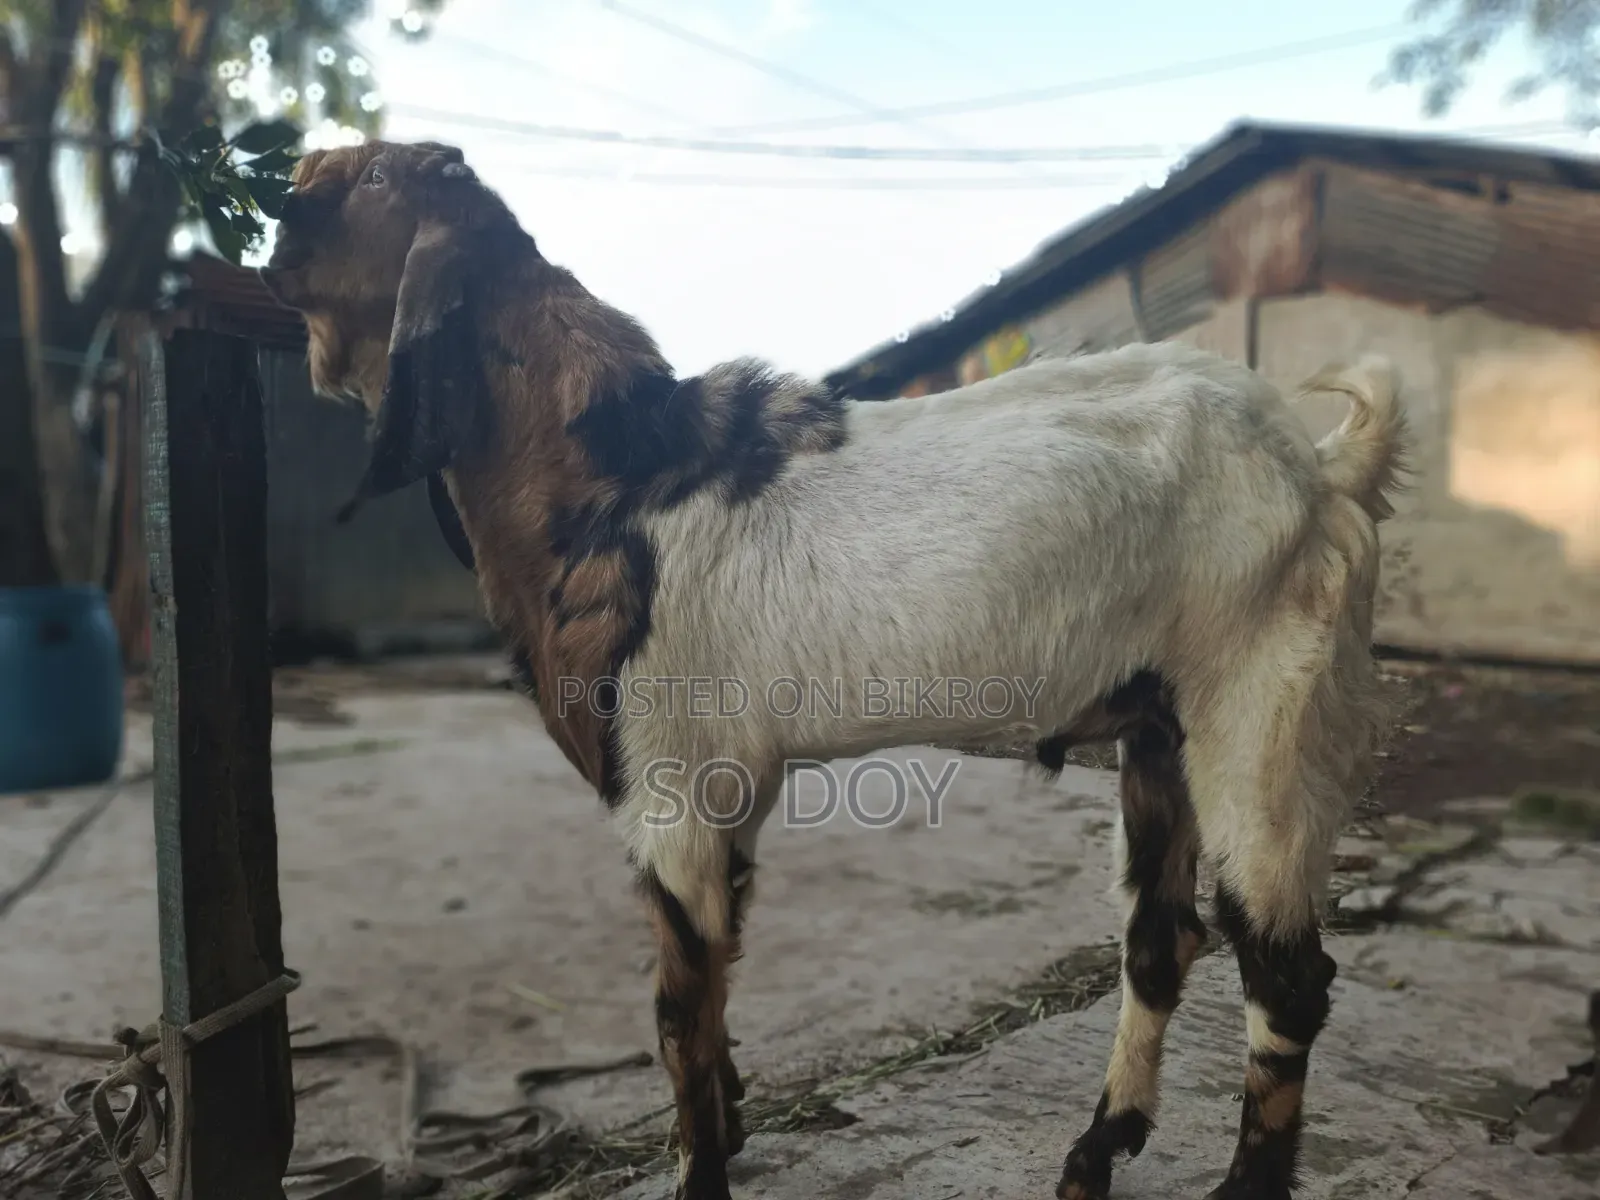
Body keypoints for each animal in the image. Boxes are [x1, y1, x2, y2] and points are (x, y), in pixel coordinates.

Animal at [260, 139, 1408, 1200]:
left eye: (371, 181)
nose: (274, 220)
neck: (613, 472)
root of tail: (1323, 471)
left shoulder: (668, 785)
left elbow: (676, 1011)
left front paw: (700, 1173)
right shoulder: (730, 788)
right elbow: (719, 973)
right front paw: (727, 1132)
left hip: (1260, 713)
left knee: (1284, 971)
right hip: (1159, 727)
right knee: (1161, 942)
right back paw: (1094, 1154)